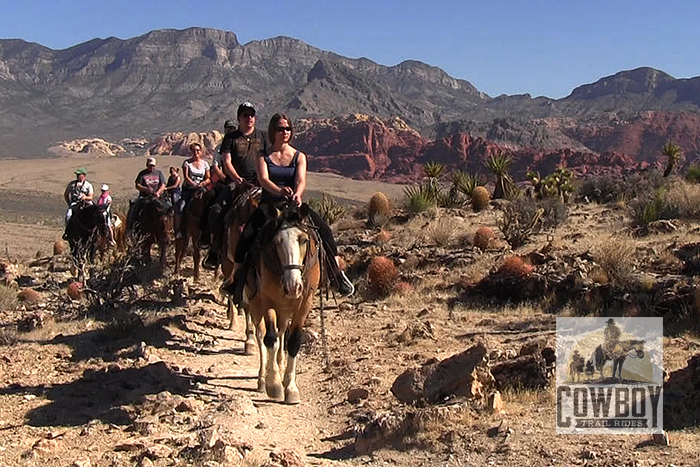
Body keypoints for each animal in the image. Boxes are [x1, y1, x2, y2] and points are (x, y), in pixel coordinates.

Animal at [245, 205, 322, 406]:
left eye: (304, 240)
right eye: (277, 241)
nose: (292, 286)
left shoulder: (304, 303)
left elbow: (293, 341)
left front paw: (291, 388)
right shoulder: (268, 301)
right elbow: (270, 338)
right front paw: (274, 385)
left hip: (285, 309)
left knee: (281, 334)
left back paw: (279, 368)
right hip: (256, 305)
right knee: (261, 334)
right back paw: (262, 379)